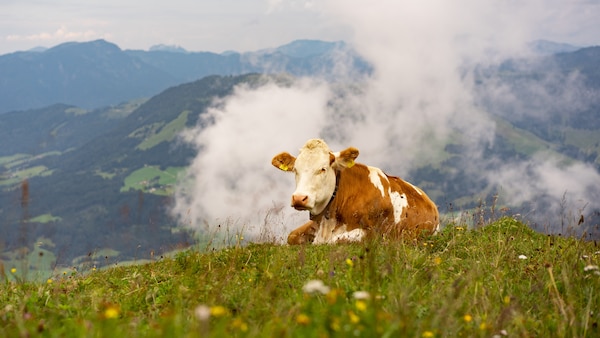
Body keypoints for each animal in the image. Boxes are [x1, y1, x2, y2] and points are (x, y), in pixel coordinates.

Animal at [272, 139, 440, 244]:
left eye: (323, 169)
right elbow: (291, 236)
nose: (299, 198)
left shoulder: (374, 233)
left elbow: (334, 241)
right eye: (295, 170)